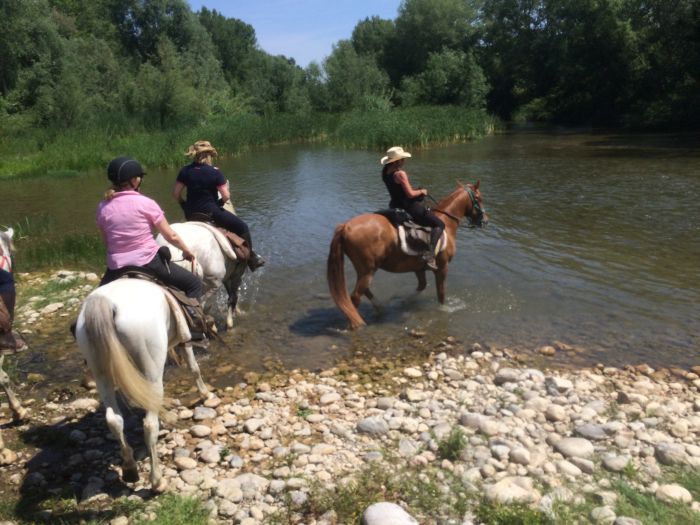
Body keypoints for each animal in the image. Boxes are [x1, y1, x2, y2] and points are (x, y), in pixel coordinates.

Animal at [75, 278, 211, 492]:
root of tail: (106, 303)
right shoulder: (185, 340)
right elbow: (194, 366)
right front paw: (205, 394)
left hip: (101, 374)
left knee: (114, 420)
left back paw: (130, 469)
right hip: (151, 370)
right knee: (149, 425)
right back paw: (157, 481)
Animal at [328, 181, 486, 328]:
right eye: (479, 198)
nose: (485, 220)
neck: (446, 223)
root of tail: (346, 226)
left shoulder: (419, 268)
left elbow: (421, 286)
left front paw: (404, 301)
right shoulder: (442, 268)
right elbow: (441, 293)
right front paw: (443, 310)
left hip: (365, 270)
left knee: (364, 290)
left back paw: (379, 307)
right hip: (368, 270)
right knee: (355, 296)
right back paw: (355, 323)